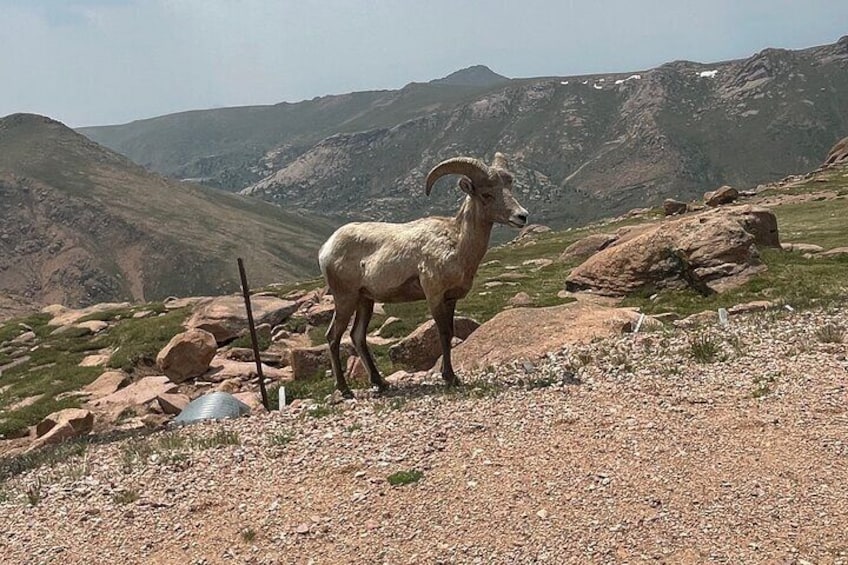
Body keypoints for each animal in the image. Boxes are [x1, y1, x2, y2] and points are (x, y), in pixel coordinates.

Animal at [320, 151, 528, 396]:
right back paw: (345, 390)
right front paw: (450, 378)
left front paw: (452, 377)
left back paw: (381, 383)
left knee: (357, 336)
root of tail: (326, 249)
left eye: (509, 188)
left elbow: (449, 332)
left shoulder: (450, 298)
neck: (457, 244)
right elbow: (444, 333)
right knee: (333, 336)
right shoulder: (434, 295)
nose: (522, 216)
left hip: (365, 300)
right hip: (345, 298)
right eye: (486, 194)